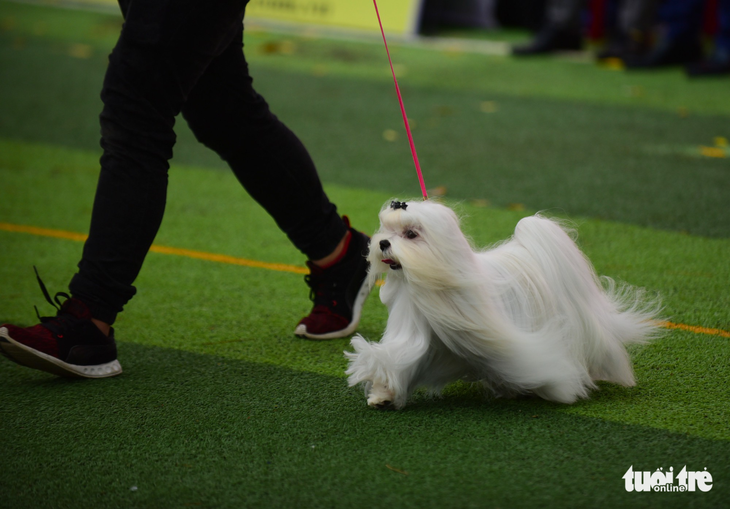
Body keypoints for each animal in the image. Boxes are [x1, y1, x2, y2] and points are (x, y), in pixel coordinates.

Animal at [344, 198, 656, 408]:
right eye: (386, 228)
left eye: (411, 234)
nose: (383, 243)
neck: (434, 283)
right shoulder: (415, 333)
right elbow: (396, 357)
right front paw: (383, 394)